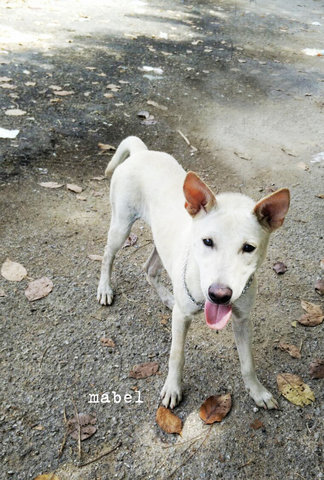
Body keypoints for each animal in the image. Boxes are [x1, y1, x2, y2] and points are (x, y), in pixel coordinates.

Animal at [97, 137, 290, 410]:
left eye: (249, 248)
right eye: (207, 241)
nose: (219, 295)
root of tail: (142, 152)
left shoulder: (242, 320)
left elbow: (247, 362)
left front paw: (257, 391)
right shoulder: (182, 319)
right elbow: (176, 356)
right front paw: (172, 388)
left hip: (161, 243)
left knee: (149, 269)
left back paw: (167, 297)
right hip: (121, 226)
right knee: (107, 256)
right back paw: (104, 288)